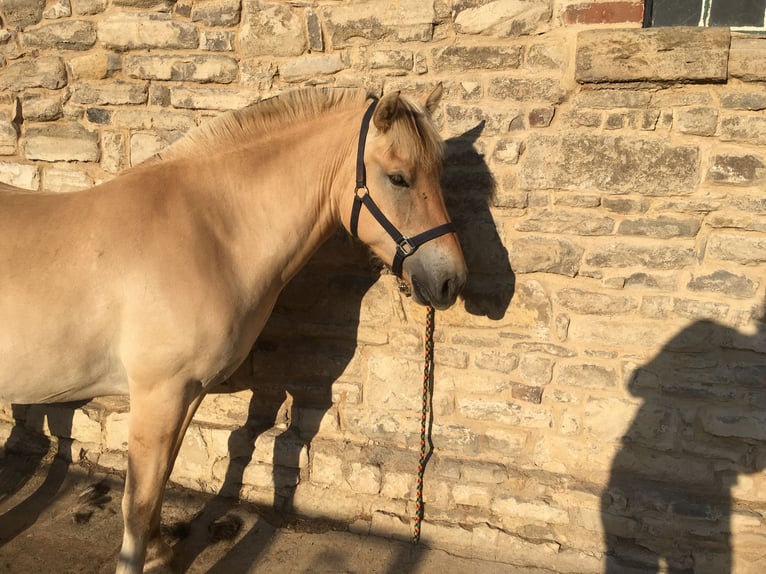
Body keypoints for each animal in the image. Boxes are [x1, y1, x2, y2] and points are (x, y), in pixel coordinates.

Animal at [0, 86, 468, 574]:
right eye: (398, 178)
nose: (451, 281)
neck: (208, 235)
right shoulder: (157, 394)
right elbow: (139, 501)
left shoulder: (187, 394)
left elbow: (162, 480)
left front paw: (159, 554)